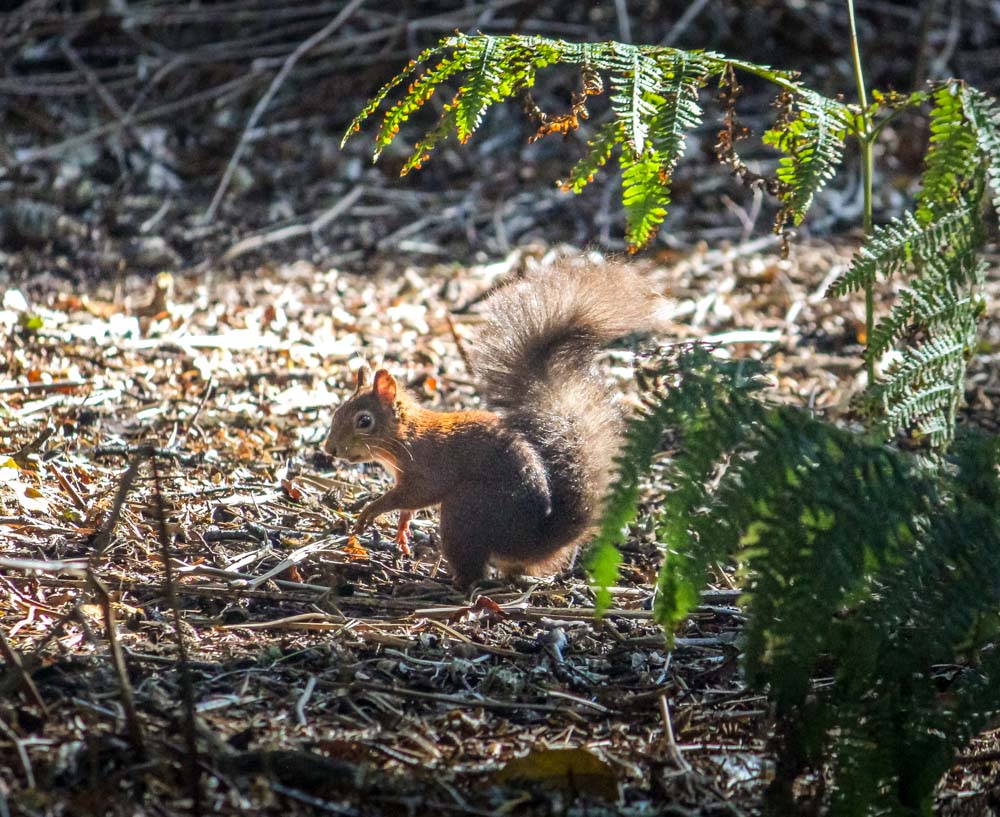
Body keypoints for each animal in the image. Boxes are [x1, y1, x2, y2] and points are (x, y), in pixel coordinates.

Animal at [324, 262, 660, 588]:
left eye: (364, 421)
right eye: (337, 411)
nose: (329, 449)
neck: (405, 437)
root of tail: (532, 542)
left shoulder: (427, 467)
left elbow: (416, 494)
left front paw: (372, 510)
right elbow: (409, 505)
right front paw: (403, 526)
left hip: (464, 511)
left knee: (471, 575)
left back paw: (435, 583)